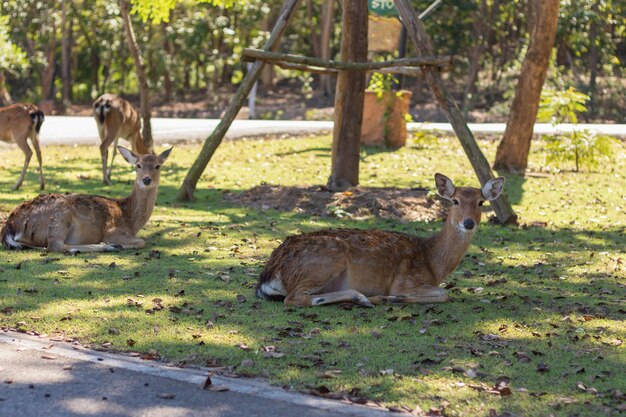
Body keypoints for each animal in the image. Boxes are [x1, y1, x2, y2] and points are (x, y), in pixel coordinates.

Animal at [0, 146, 171, 254]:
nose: (146, 179)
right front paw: (113, 244)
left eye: (158, 166)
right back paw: (107, 247)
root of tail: (9, 227)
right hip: (60, 214)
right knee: (55, 245)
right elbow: (141, 241)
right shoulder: (111, 230)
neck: (129, 218)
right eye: (138, 165)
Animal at [256, 172, 504, 306]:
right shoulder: (405, 281)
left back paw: (362, 298)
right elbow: (444, 294)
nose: (468, 223)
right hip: (325, 261)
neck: (433, 263)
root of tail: (269, 273)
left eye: (481, 202)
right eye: (455, 201)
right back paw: (370, 298)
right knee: (294, 298)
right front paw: (395, 298)